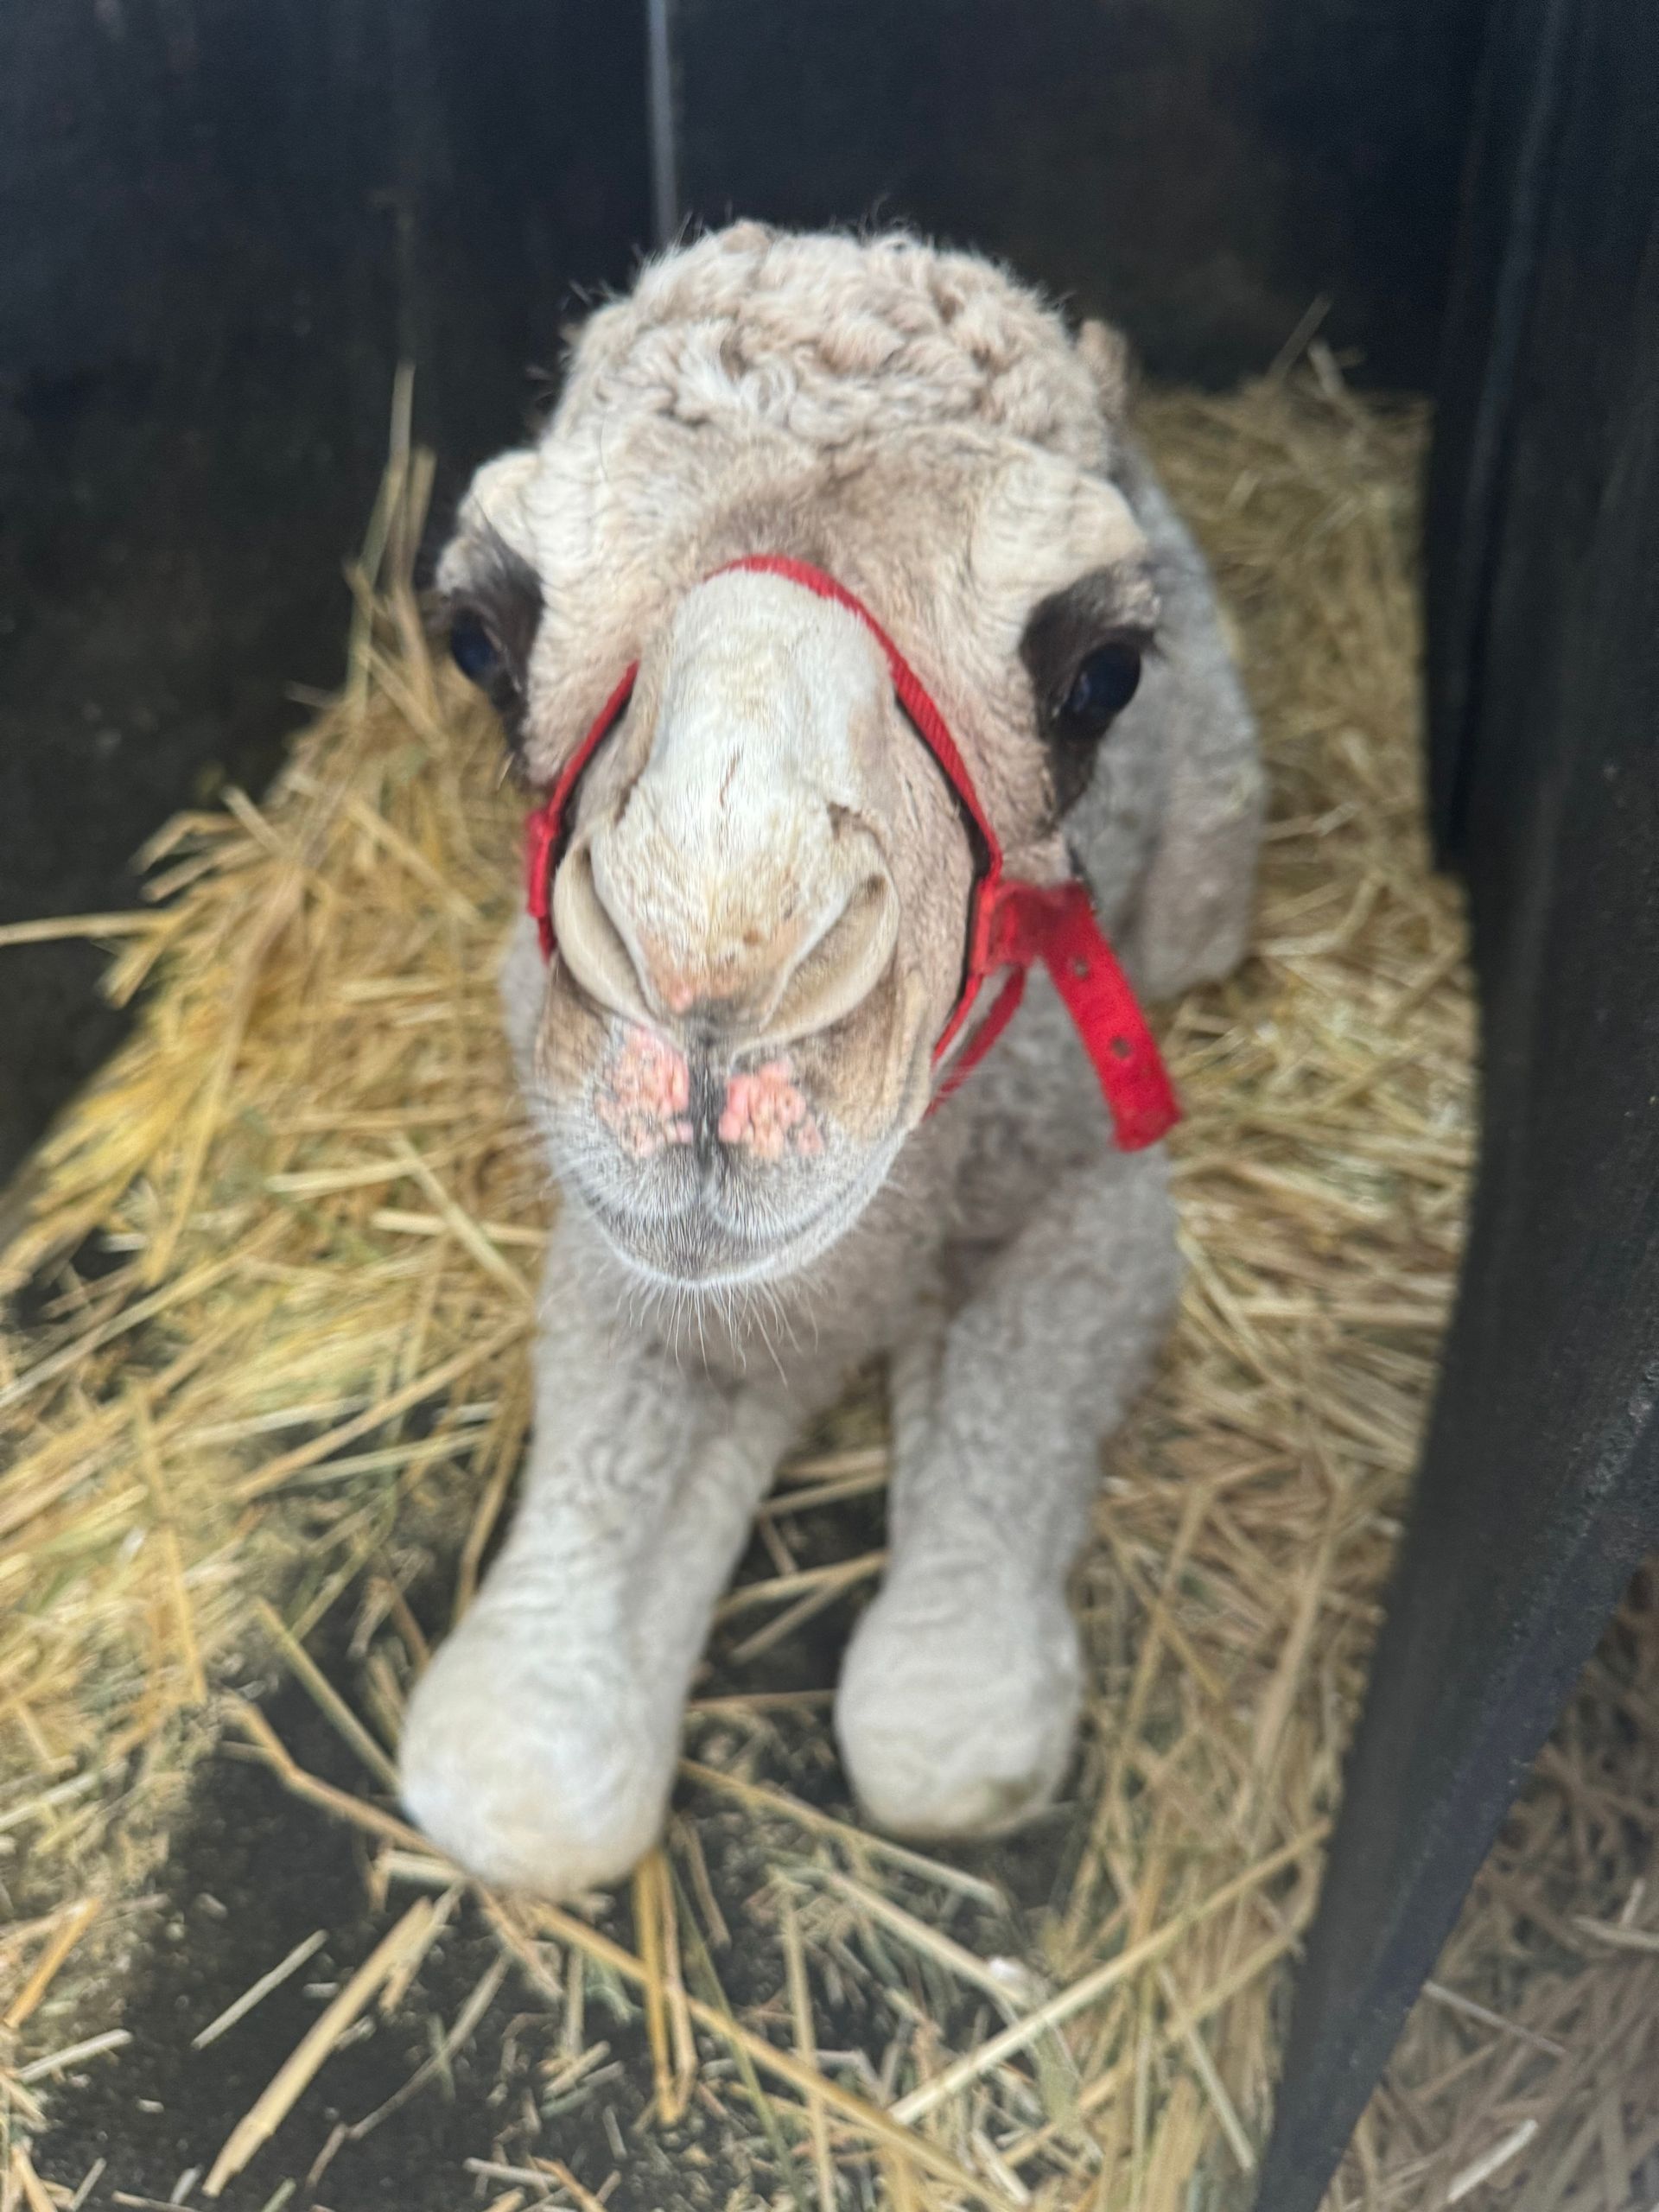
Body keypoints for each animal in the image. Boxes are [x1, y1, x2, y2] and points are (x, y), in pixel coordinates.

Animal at [399, 224, 1263, 1897]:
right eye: (479, 640)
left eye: (1101, 674)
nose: (715, 985)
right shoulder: (628, 1263)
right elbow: (517, 1783)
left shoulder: (1087, 1206)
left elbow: (939, 1739)